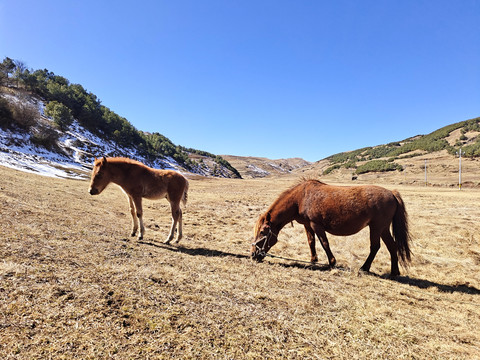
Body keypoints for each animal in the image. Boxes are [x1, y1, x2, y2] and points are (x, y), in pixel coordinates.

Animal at [251, 179, 412, 276]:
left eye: (263, 232)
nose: (253, 254)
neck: (301, 198)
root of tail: (392, 193)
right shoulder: (308, 225)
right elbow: (311, 242)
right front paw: (313, 260)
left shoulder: (316, 225)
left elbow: (324, 243)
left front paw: (332, 263)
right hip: (383, 228)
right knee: (392, 246)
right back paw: (394, 272)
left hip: (376, 227)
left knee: (375, 247)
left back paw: (364, 268)